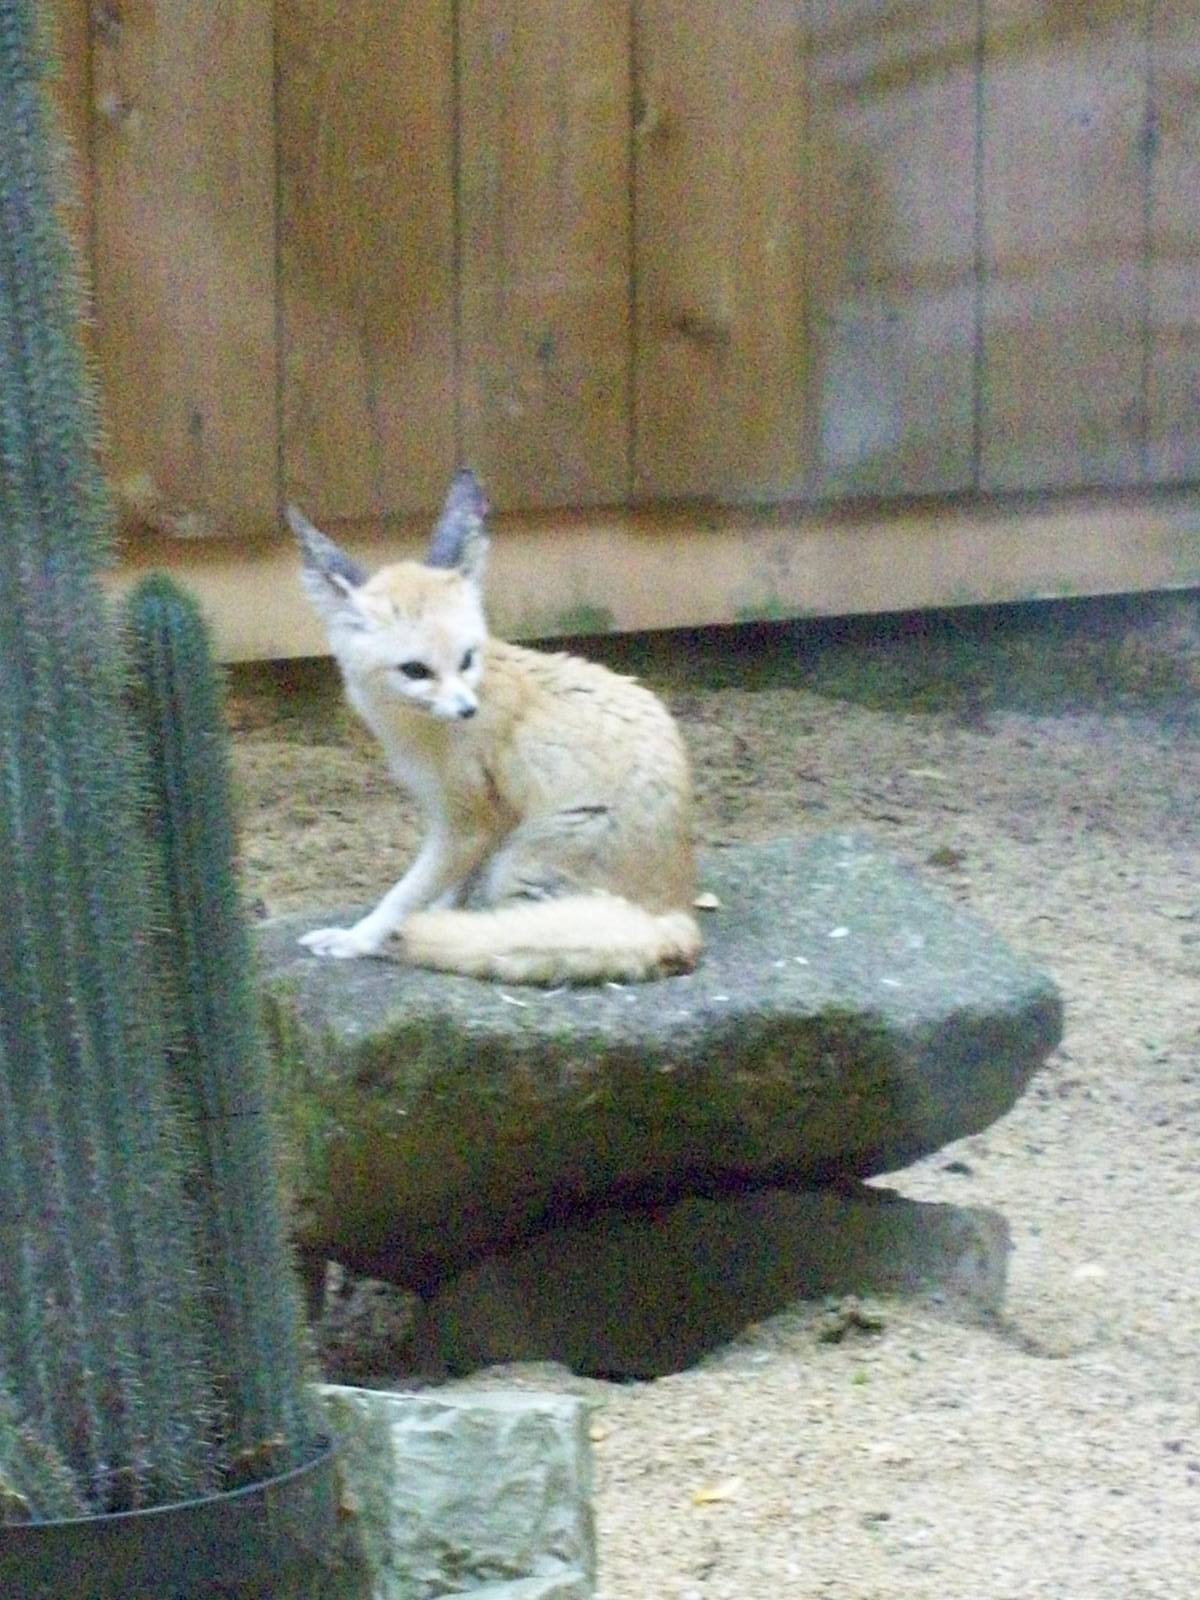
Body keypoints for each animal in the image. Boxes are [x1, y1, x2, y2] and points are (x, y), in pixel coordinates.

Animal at [287, 470, 701, 985]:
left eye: (466, 659)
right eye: (416, 670)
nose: (467, 710)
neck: (415, 729)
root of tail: (677, 912)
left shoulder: (469, 823)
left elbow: (405, 893)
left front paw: (361, 938)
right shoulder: (465, 818)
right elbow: (448, 889)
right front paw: (437, 917)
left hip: (520, 865)